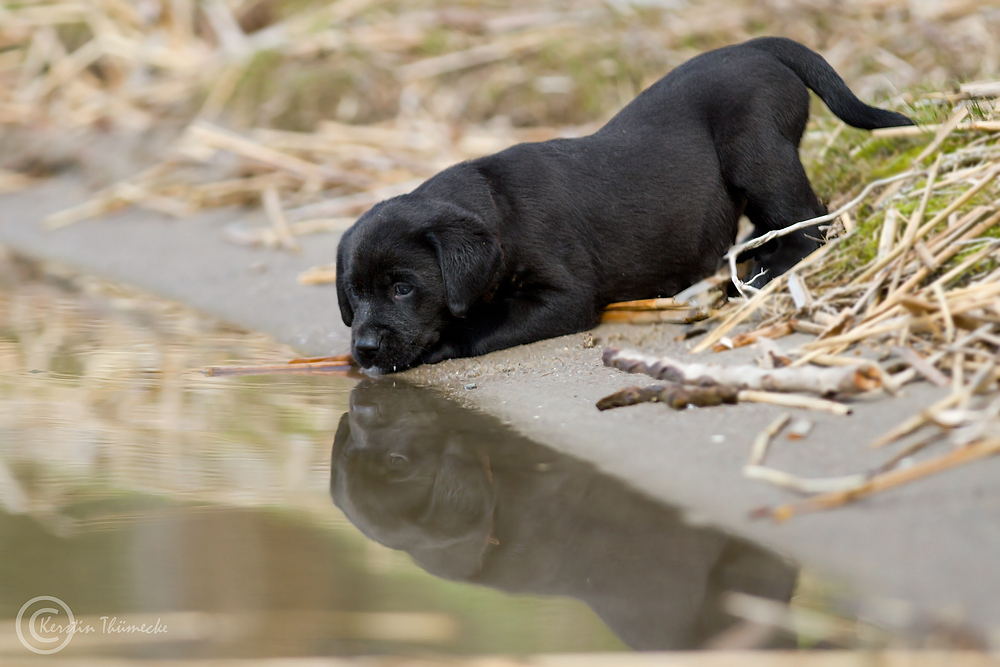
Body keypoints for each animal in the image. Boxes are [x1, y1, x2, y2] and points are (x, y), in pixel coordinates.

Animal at [338, 36, 916, 374]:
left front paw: (442, 342)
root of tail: (758, 48)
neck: (496, 206)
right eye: (354, 295)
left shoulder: (563, 297)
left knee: (809, 225)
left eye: (403, 287)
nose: (362, 349)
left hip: (756, 150)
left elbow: (482, 322)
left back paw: (758, 274)